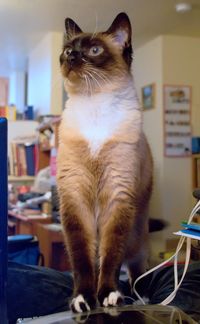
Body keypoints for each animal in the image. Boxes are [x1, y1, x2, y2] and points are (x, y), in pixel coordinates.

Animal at [56, 11, 153, 312]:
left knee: (136, 266)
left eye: (95, 51)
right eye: (68, 50)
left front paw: (108, 296)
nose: (72, 57)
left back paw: (140, 296)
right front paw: (83, 299)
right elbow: (82, 262)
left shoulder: (118, 197)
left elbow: (111, 257)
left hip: (137, 235)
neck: (94, 106)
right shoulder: (75, 199)